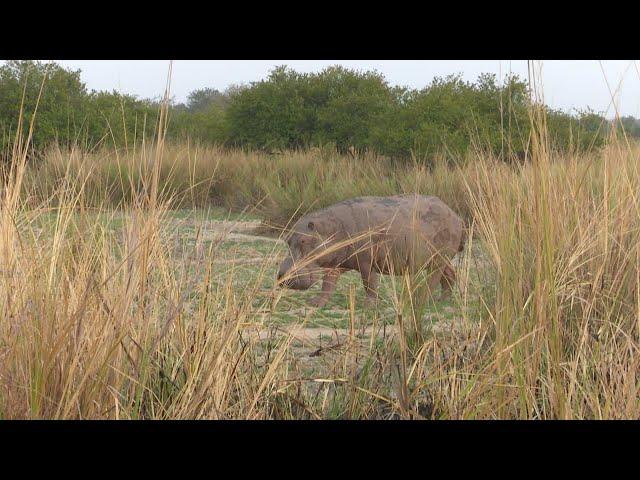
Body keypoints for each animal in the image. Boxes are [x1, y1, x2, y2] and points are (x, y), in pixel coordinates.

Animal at [276, 194, 464, 308]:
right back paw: (442, 300)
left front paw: (368, 305)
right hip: (439, 258)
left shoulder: (367, 262)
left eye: (303, 240)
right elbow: (327, 284)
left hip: (438, 258)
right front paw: (315, 302)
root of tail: (456, 215)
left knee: (434, 278)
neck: (330, 228)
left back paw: (423, 300)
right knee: (450, 274)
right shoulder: (334, 264)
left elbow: (369, 283)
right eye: (287, 239)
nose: (283, 276)